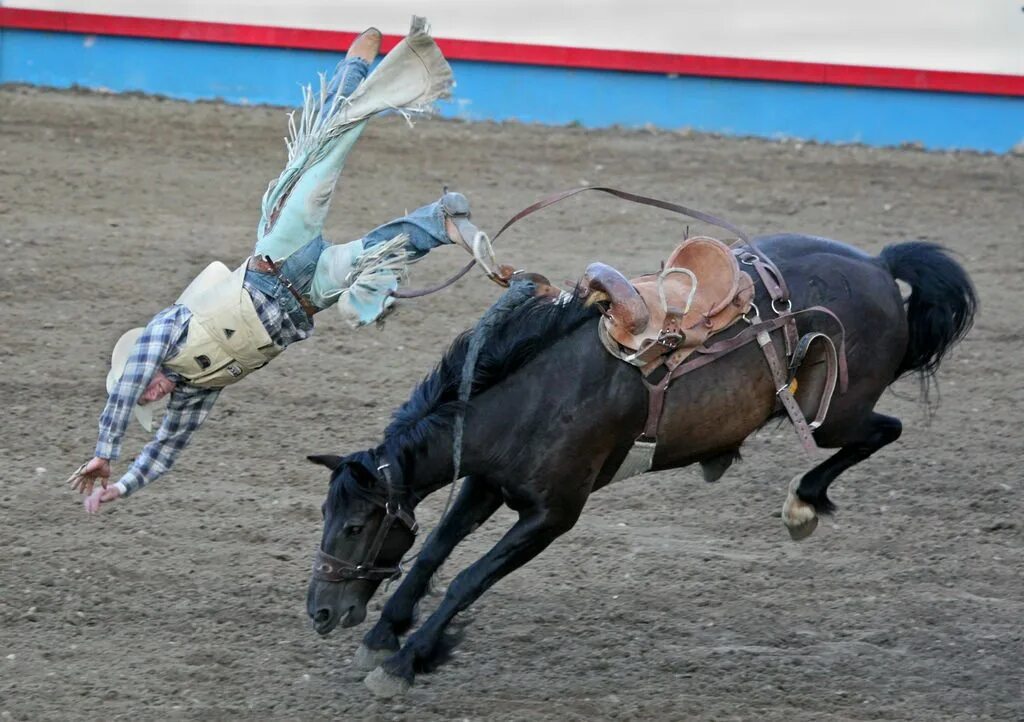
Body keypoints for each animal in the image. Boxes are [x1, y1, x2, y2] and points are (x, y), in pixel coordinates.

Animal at [301, 188, 974, 696]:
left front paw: (408, 658)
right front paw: (385, 632)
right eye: (326, 517)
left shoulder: (554, 514)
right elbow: (435, 549)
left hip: (832, 415)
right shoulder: (489, 479)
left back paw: (802, 503)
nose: (320, 611)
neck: (539, 393)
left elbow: (470, 577)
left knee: (885, 431)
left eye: (355, 525)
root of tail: (879, 266)